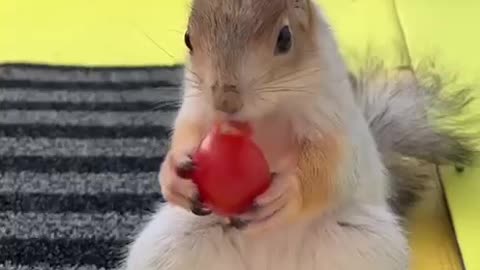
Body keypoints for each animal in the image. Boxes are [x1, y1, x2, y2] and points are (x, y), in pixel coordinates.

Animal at [122, 1, 478, 268]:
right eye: (188, 38)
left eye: (285, 38)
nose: (226, 101)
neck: (263, 116)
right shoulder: (196, 105)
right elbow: (186, 132)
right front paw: (173, 175)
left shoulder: (332, 116)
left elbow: (329, 163)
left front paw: (288, 191)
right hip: (171, 244)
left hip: (360, 242)